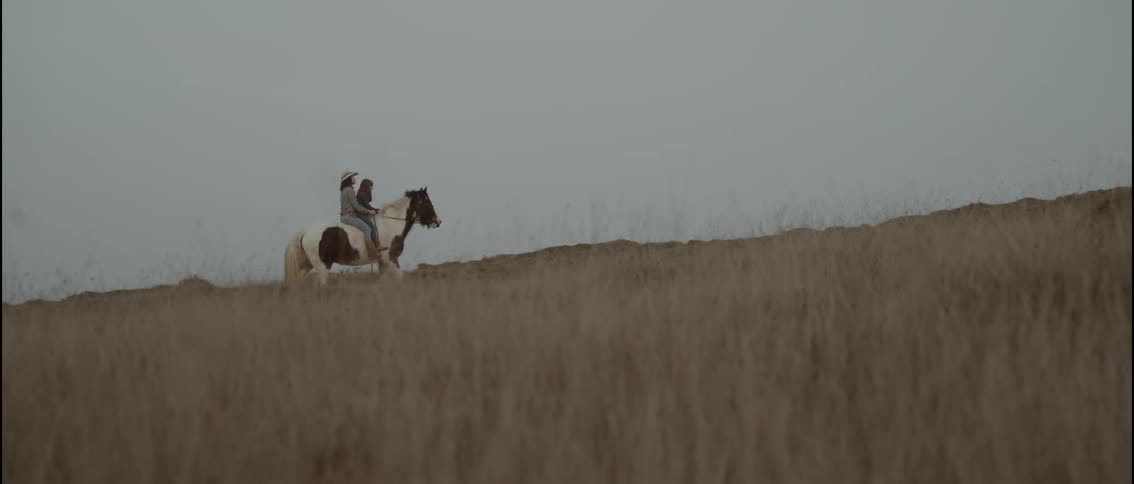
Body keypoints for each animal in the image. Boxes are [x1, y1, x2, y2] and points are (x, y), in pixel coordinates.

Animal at [283, 187, 441, 286]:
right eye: (426, 201)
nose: (437, 221)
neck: (391, 224)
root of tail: (305, 232)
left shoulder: (383, 263)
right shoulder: (390, 260)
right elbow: (400, 278)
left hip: (307, 266)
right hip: (322, 266)